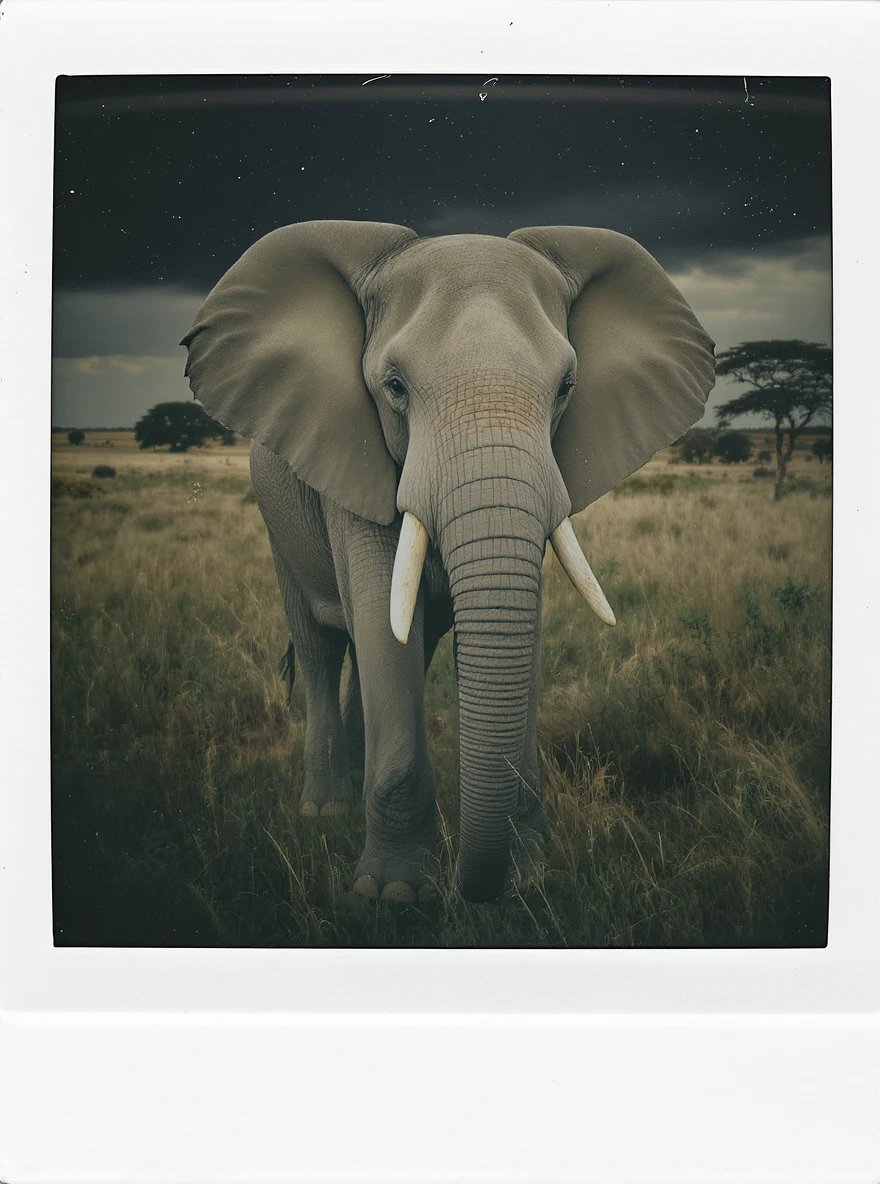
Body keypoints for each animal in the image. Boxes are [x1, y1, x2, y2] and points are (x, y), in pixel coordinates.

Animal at [181, 221, 715, 903]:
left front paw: (529, 874)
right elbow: (381, 624)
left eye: (566, 388)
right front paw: (394, 895)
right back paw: (325, 811)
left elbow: (505, 630)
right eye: (395, 387)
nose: (471, 889)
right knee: (323, 649)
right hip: (279, 523)